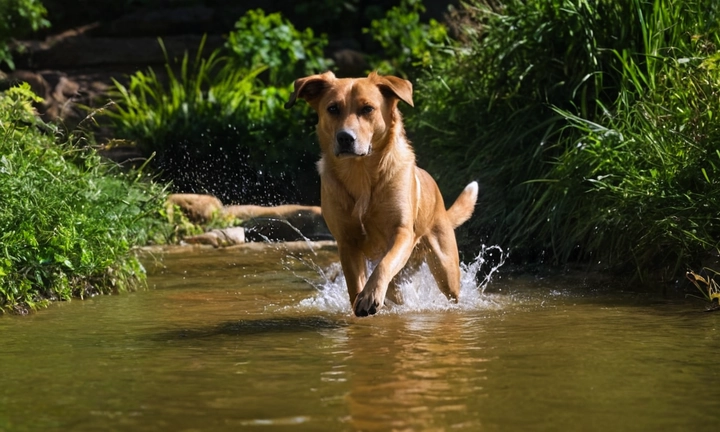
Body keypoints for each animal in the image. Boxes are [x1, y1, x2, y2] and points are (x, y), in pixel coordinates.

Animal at [286, 71, 478, 318]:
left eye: (368, 109)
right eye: (333, 108)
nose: (345, 137)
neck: (361, 174)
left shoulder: (402, 233)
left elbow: (385, 264)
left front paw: (370, 296)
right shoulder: (347, 242)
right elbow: (355, 282)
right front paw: (362, 299)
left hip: (445, 267)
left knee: (447, 288)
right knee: (395, 289)